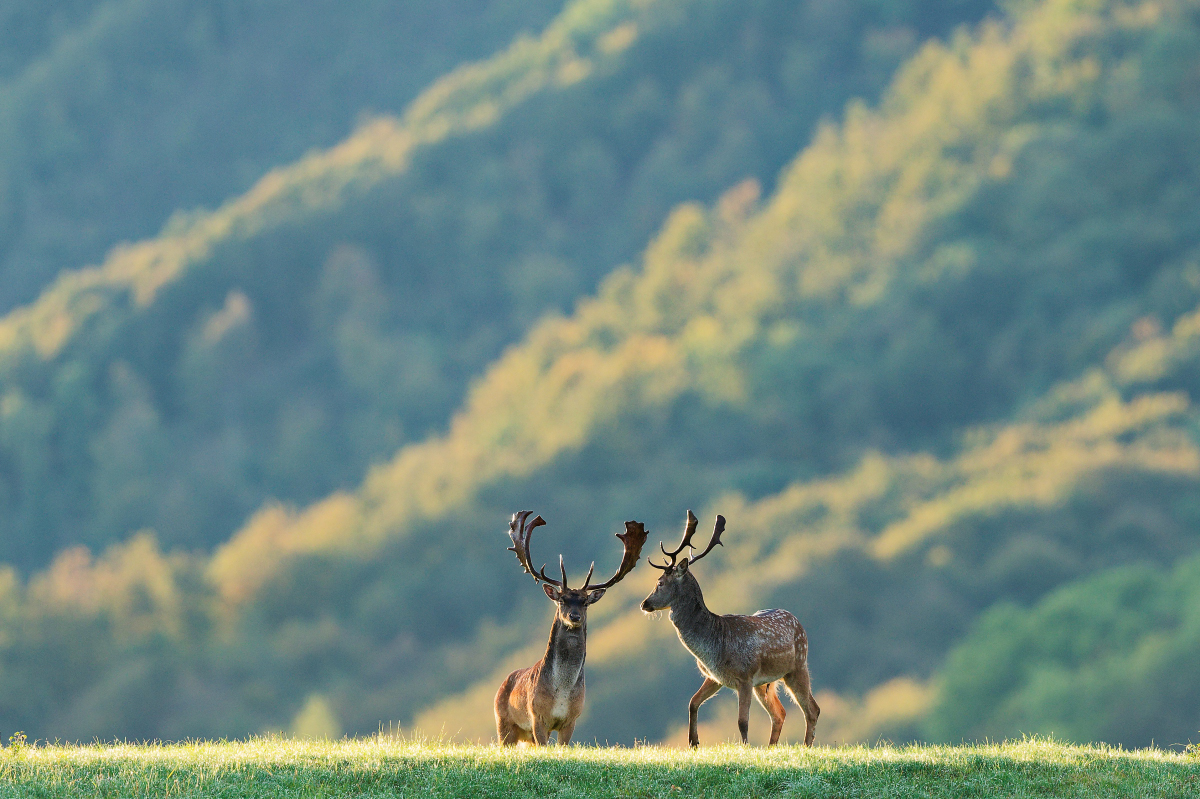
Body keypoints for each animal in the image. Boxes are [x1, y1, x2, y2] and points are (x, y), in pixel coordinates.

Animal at [494, 510, 648, 745]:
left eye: (584, 602)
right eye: (562, 600)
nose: (574, 616)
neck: (562, 692)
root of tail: (502, 684)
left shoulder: (571, 719)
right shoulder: (537, 716)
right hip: (504, 724)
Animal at [640, 510, 820, 747]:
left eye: (660, 582)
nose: (644, 604)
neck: (713, 646)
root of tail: (798, 622)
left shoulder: (745, 676)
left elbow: (742, 721)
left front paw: (745, 748)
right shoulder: (715, 677)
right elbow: (692, 702)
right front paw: (693, 743)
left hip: (797, 666)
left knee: (812, 709)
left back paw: (806, 747)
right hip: (765, 683)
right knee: (780, 713)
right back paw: (771, 748)